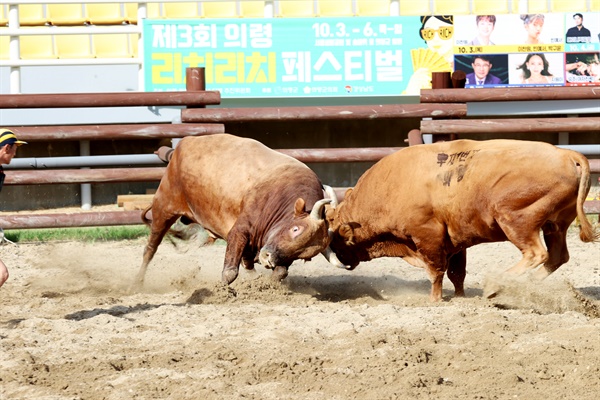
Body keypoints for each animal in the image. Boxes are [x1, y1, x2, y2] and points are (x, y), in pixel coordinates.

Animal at [135, 134, 342, 288]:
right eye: (295, 229)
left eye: (304, 254)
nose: (268, 258)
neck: (282, 196)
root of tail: (181, 146)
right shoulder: (240, 229)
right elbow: (230, 271)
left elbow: (279, 271)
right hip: (164, 206)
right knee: (150, 248)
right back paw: (138, 281)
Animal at [326, 139, 596, 302]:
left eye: (337, 242)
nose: (342, 260)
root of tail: (568, 155)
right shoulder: (456, 241)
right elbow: (457, 273)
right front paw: (459, 296)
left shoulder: (428, 236)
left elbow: (436, 271)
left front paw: (434, 299)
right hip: (555, 226)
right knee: (557, 256)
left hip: (516, 221)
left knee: (536, 253)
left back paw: (497, 285)